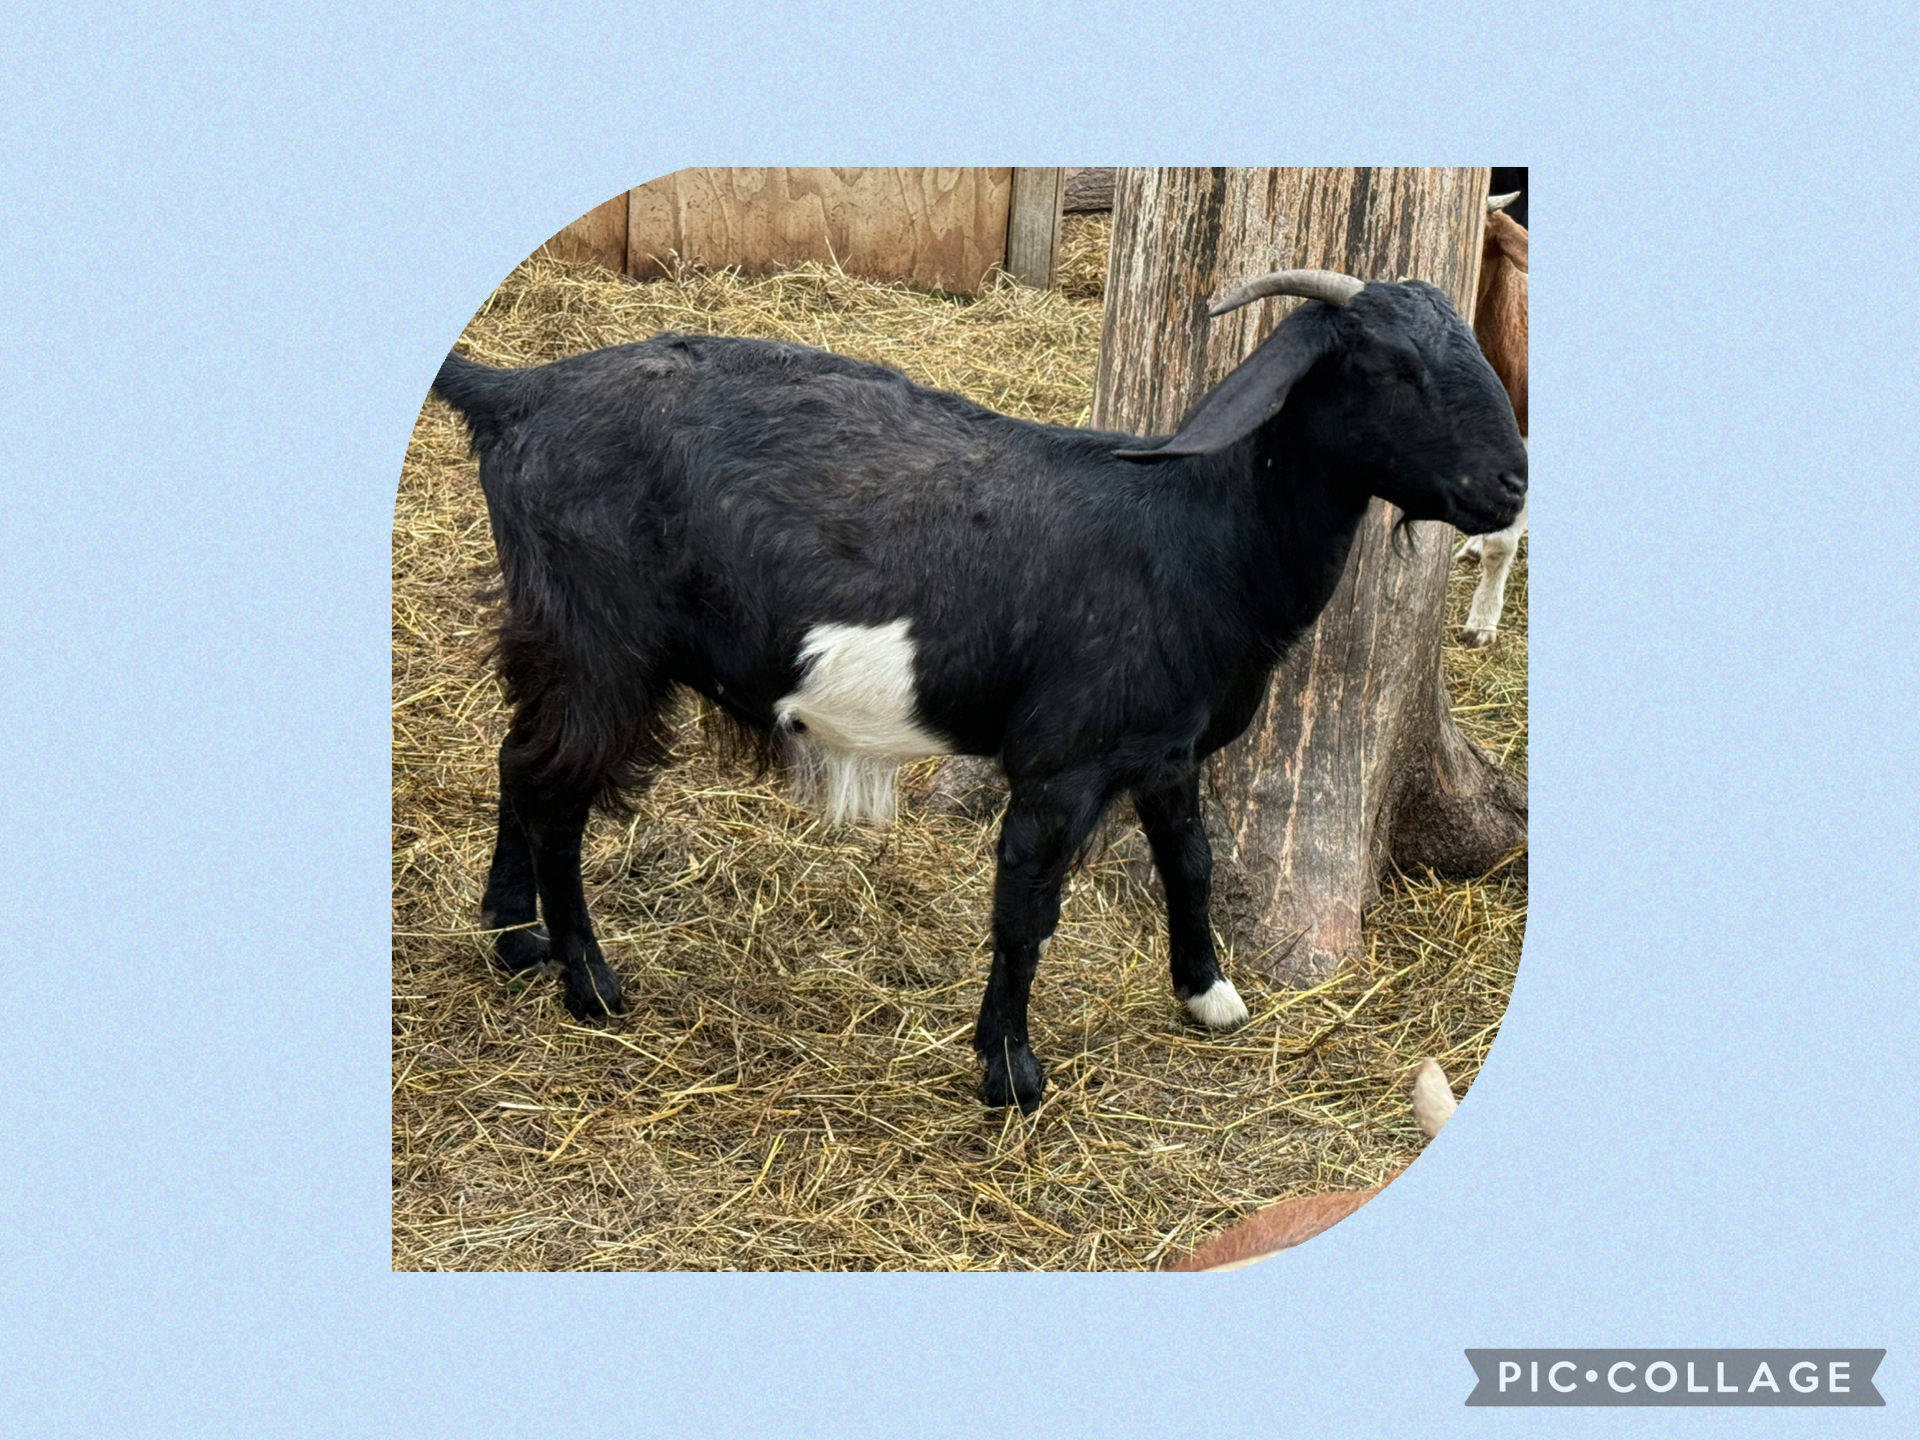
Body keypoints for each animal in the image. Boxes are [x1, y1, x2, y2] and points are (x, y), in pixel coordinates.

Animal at [431, 269, 1527, 1113]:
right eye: (1383, 367)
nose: (1511, 485)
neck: (1197, 532)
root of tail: (516, 395)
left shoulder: (1163, 749)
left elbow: (1193, 864)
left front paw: (1208, 996)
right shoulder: (1063, 759)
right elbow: (1025, 908)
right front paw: (1010, 1072)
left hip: (557, 633)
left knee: (518, 758)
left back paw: (514, 935)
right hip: (600, 638)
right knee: (558, 792)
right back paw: (588, 981)